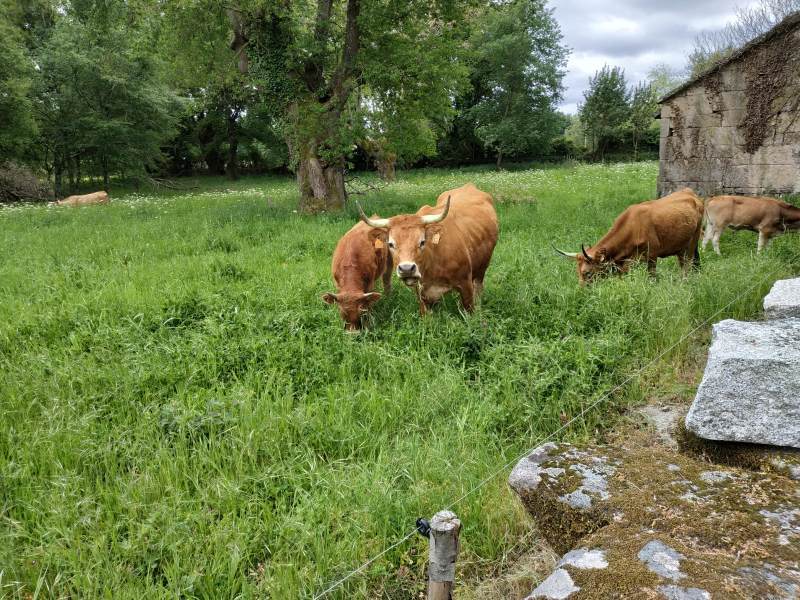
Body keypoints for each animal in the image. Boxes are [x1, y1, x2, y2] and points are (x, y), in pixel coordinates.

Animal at [358, 183, 496, 314]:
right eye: (391, 244)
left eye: (422, 242)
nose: (406, 269)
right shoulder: (422, 295)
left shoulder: (465, 285)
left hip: (482, 268)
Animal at [552, 188, 704, 284]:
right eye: (577, 272)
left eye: (587, 273)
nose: (581, 291)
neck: (633, 227)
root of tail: (692, 194)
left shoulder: (652, 256)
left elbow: (652, 277)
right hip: (681, 246)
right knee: (683, 263)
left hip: (694, 239)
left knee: (688, 262)